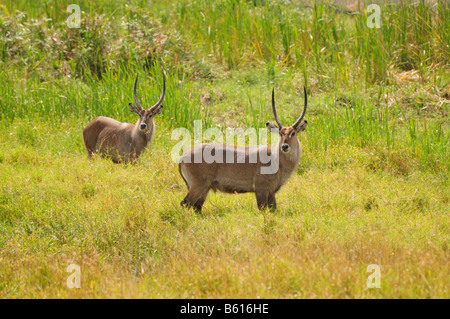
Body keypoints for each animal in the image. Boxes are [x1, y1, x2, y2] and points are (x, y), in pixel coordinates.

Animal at [178, 87, 308, 212]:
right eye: (281, 133)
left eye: (293, 133)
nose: (284, 146)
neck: (275, 158)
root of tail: (183, 157)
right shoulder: (261, 189)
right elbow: (262, 209)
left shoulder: (271, 192)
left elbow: (273, 210)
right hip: (199, 185)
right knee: (185, 203)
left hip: (204, 188)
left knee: (197, 207)